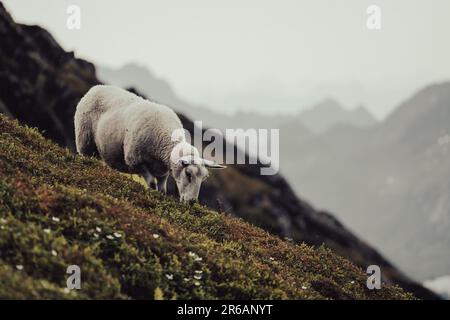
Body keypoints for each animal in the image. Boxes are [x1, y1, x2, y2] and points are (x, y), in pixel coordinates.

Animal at [76, 85, 229, 200]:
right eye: (188, 174)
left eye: (204, 178)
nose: (192, 202)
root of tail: (96, 87)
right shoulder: (136, 161)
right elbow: (151, 184)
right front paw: (152, 196)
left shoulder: (163, 171)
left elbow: (162, 189)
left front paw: (161, 198)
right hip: (84, 140)